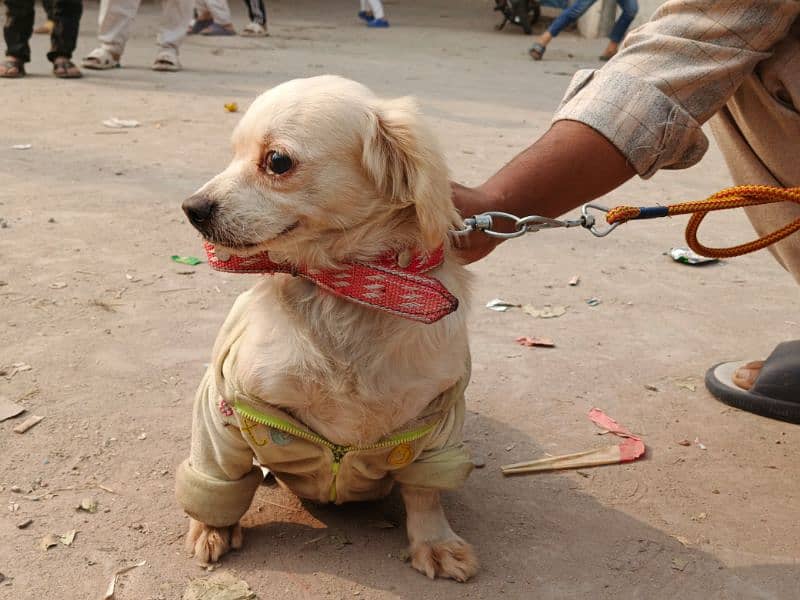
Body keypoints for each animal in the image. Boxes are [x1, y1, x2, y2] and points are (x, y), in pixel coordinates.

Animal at [177, 75, 476, 580]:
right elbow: (219, 477)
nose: (190, 208)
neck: (345, 286)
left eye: (277, 161)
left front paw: (435, 542)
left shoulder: (438, 420)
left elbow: (425, 492)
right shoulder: (224, 409)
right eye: (233, 152)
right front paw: (213, 528)